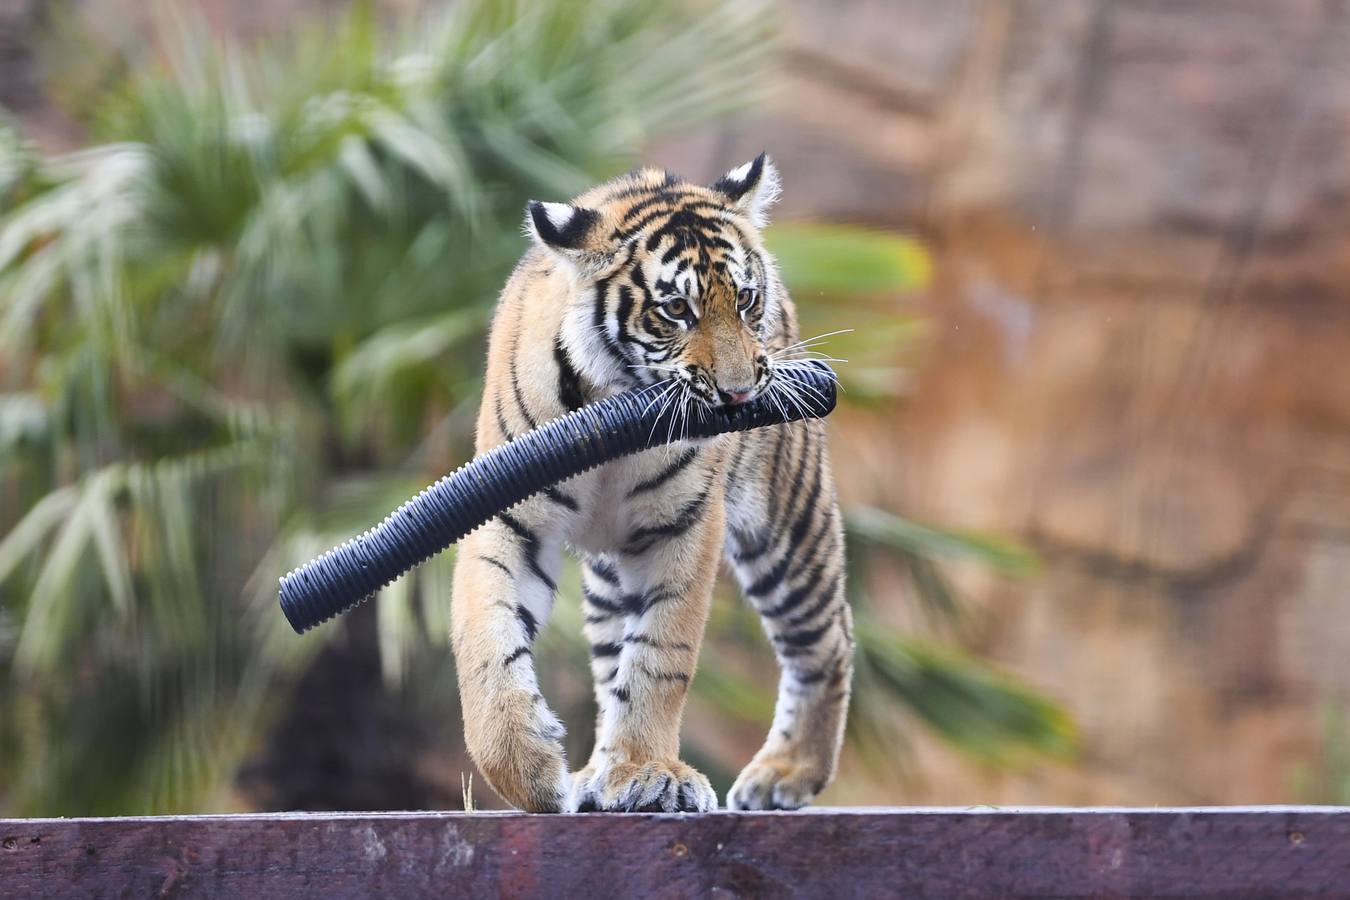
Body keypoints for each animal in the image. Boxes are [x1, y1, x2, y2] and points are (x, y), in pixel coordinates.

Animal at [450, 154, 853, 813]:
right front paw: (530, 770)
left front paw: (646, 770)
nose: (739, 394)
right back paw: (597, 772)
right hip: (612, 577)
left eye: (745, 299)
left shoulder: (684, 524)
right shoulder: (506, 514)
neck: (611, 403)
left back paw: (786, 772)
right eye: (676, 311)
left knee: (828, 638)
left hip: (784, 525)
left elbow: (660, 657)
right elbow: (485, 635)